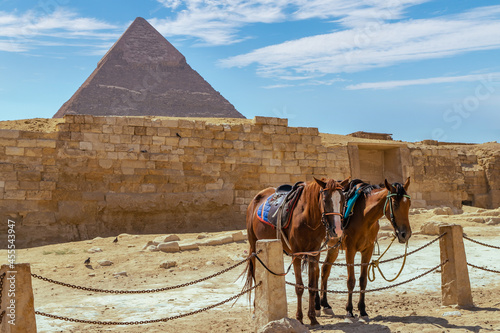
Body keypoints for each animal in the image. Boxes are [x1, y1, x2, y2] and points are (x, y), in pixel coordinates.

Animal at [245, 178, 348, 322]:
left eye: (343, 199)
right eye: (325, 199)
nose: (337, 230)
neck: (307, 218)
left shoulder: (314, 254)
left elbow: (312, 286)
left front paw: (312, 318)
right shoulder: (297, 254)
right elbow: (299, 287)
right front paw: (299, 318)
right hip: (254, 246)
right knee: (255, 277)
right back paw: (256, 311)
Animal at [314, 178, 412, 320]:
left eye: (409, 203)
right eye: (395, 204)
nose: (406, 234)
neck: (364, 216)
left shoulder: (368, 250)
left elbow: (363, 280)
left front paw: (362, 311)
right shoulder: (350, 250)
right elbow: (351, 281)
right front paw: (349, 311)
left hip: (333, 247)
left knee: (324, 270)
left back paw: (325, 305)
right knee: (315, 272)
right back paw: (316, 306)